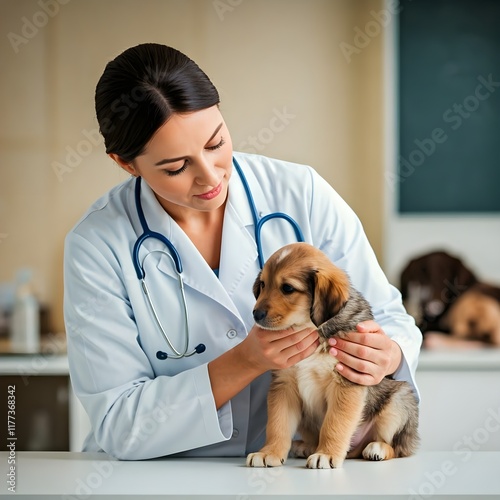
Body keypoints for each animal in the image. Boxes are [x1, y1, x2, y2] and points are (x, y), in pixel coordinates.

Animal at [248, 242, 420, 468]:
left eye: (287, 288)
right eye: (263, 285)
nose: (256, 314)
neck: (310, 328)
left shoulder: (345, 382)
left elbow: (334, 424)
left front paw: (326, 454)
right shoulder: (283, 385)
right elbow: (277, 425)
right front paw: (269, 452)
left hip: (399, 401)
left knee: (397, 447)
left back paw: (377, 448)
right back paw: (306, 446)